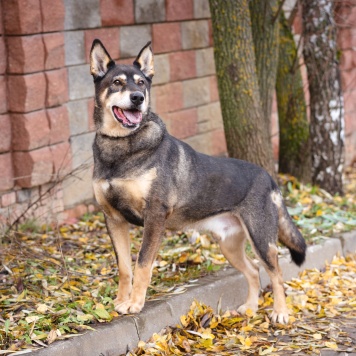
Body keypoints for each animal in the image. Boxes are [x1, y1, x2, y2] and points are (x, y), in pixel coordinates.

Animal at [89, 39, 306, 326]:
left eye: (142, 83)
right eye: (117, 82)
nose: (138, 98)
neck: (121, 146)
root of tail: (268, 177)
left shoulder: (154, 216)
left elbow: (142, 264)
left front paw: (135, 304)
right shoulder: (113, 219)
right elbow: (125, 267)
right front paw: (121, 301)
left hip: (261, 237)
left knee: (276, 272)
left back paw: (280, 312)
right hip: (229, 244)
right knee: (253, 270)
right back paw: (250, 307)